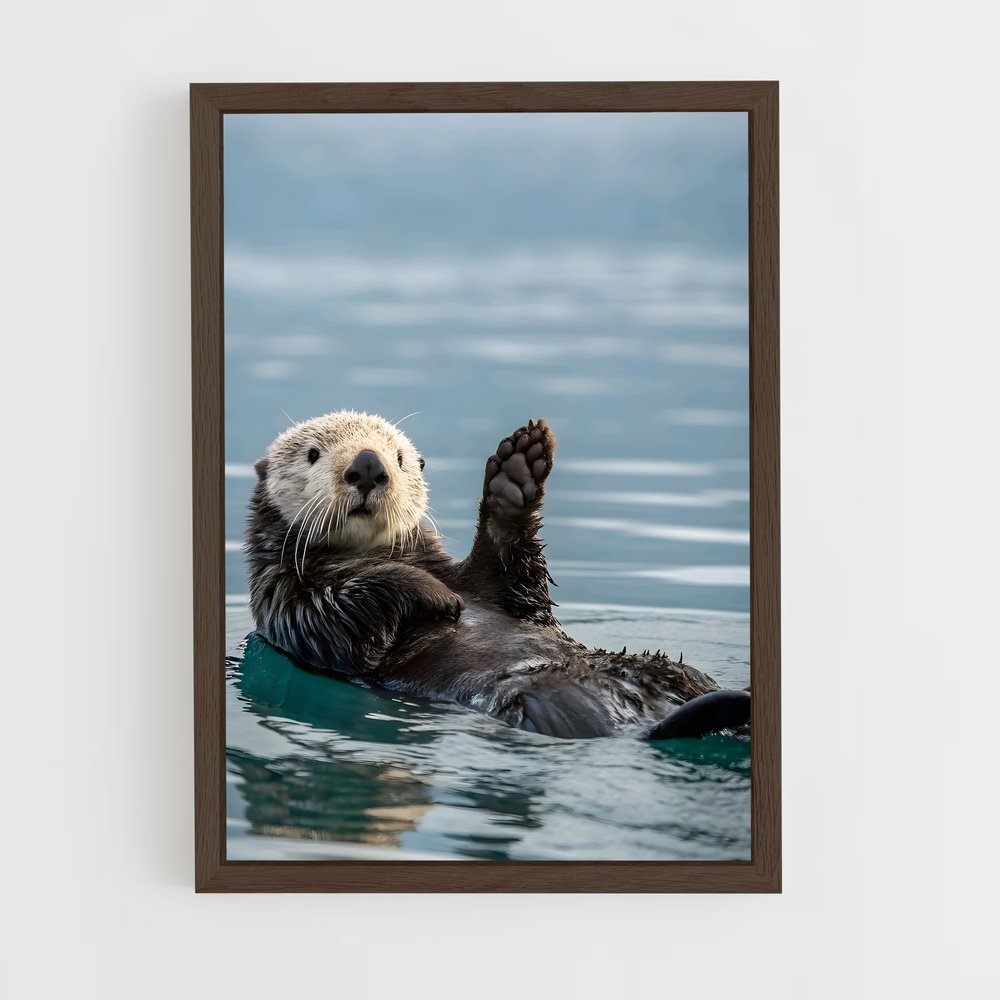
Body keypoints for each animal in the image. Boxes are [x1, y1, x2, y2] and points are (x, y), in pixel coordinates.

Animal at [245, 411, 750, 740]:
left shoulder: (495, 588)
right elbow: (342, 616)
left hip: (674, 666)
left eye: (400, 457)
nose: (368, 464)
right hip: (548, 700)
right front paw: (437, 595)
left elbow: (512, 580)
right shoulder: (286, 604)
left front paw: (515, 475)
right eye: (313, 454)